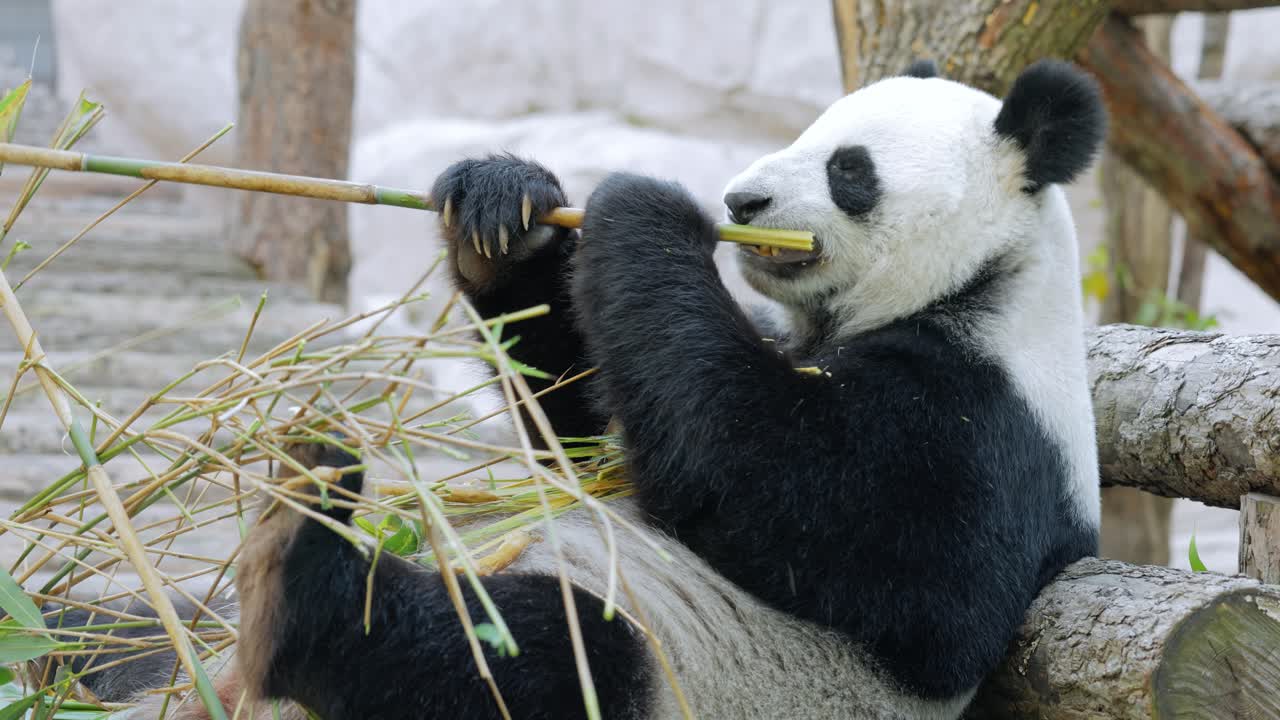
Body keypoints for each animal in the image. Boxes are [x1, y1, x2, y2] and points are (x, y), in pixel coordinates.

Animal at [57, 58, 1105, 720]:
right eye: (807, 130)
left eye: (850, 170)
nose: (743, 202)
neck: (984, 281)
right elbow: (592, 426)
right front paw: (505, 209)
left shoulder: (988, 427)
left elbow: (787, 491)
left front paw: (643, 206)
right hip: (163, 631)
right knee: (115, 626)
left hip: (677, 667)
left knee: (513, 657)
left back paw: (299, 572)